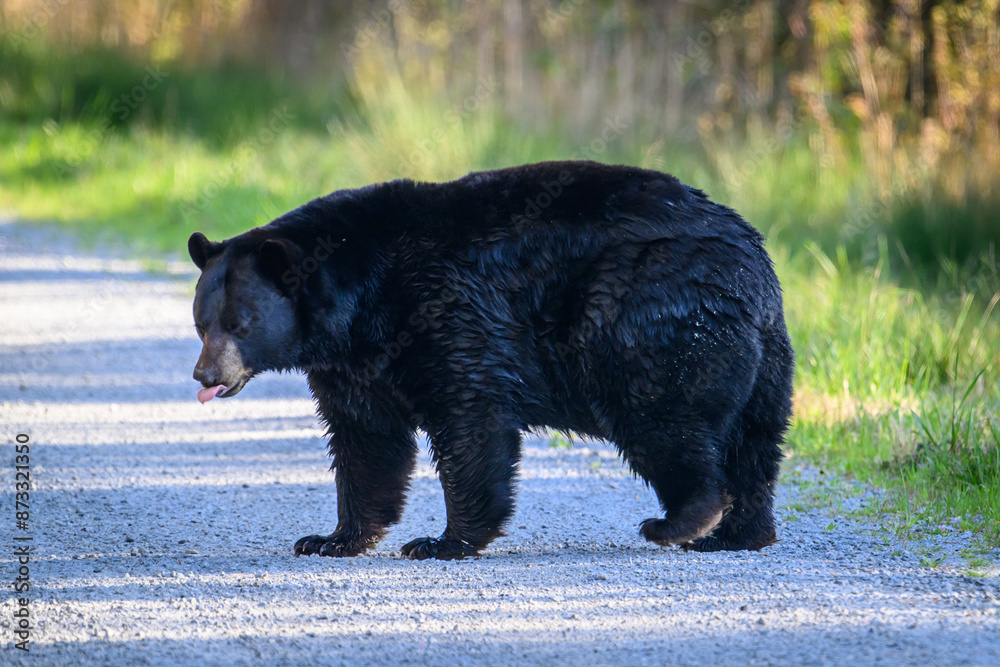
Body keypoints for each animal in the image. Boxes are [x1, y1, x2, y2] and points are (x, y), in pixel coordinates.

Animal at [187, 160, 794, 560]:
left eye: (239, 323)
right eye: (201, 321)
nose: (206, 375)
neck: (358, 303)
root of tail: (752, 267)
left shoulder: (447, 312)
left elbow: (469, 419)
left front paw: (442, 542)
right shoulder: (354, 364)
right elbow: (366, 439)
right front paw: (331, 538)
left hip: (646, 319)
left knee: (660, 416)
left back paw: (679, 522)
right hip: (766, 362)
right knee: (755, 443)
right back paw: (739, 534)